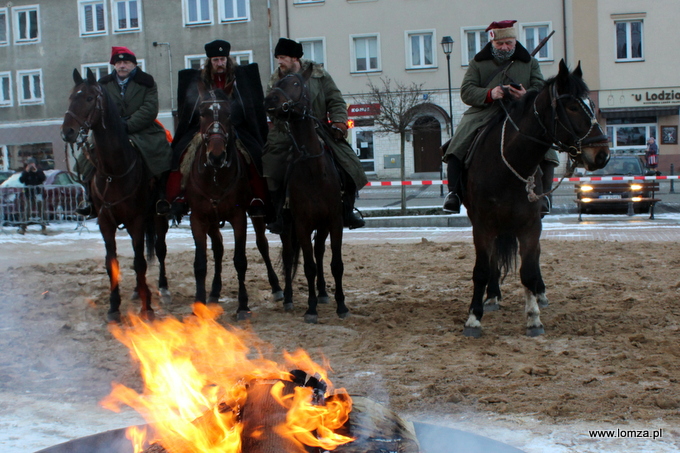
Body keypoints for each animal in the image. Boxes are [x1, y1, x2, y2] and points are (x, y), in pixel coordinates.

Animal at [61, 68, 170, 322]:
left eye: (89, 98)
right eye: (71, 97)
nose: (67, 132)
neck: (114, 170)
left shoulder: (137, 220)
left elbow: (140, 262)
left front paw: (147, 307)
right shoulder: (105, 221)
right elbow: (112, 263)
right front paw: (113, 307)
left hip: (158, 217)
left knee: (159, 249)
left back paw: (162, 287)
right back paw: (137, 290)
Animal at [182, 85, 282, 318]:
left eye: (229, 114)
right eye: (202, 114)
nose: (216, 155)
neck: (215, 175)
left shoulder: (238, 217)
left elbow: (240, 260)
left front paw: (243, 305)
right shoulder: (198, 218)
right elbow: (200, 263)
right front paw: (198, 304)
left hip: (257, 213)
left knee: (262, 244)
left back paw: (276, 287)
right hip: (211, 220)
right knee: (218, 247)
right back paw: (214, 292)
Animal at [260, 67, 346, 324]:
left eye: (296, 83)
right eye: (276, 83)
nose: (270, 101)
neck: (314, 169)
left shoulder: (334, 221)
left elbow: (335, 263)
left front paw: (341, 305)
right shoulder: (301, 224)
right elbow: (307, 266)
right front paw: (311, 309)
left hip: (322, 226)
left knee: (319, 252)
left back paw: (323, 293)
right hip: (288, 227)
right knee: (290, 258)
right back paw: (288, 298)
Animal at [462, 59, 612, 336]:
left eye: (592, 104)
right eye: (572, 106)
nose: (602, 155)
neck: (508, 164)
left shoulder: (531, 225)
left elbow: (529, 270)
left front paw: (533, 317)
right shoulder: (482, 225)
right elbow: (482, 269)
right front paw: (474, 318)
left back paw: (539, 294)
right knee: (493, 260)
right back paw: (492, 295)